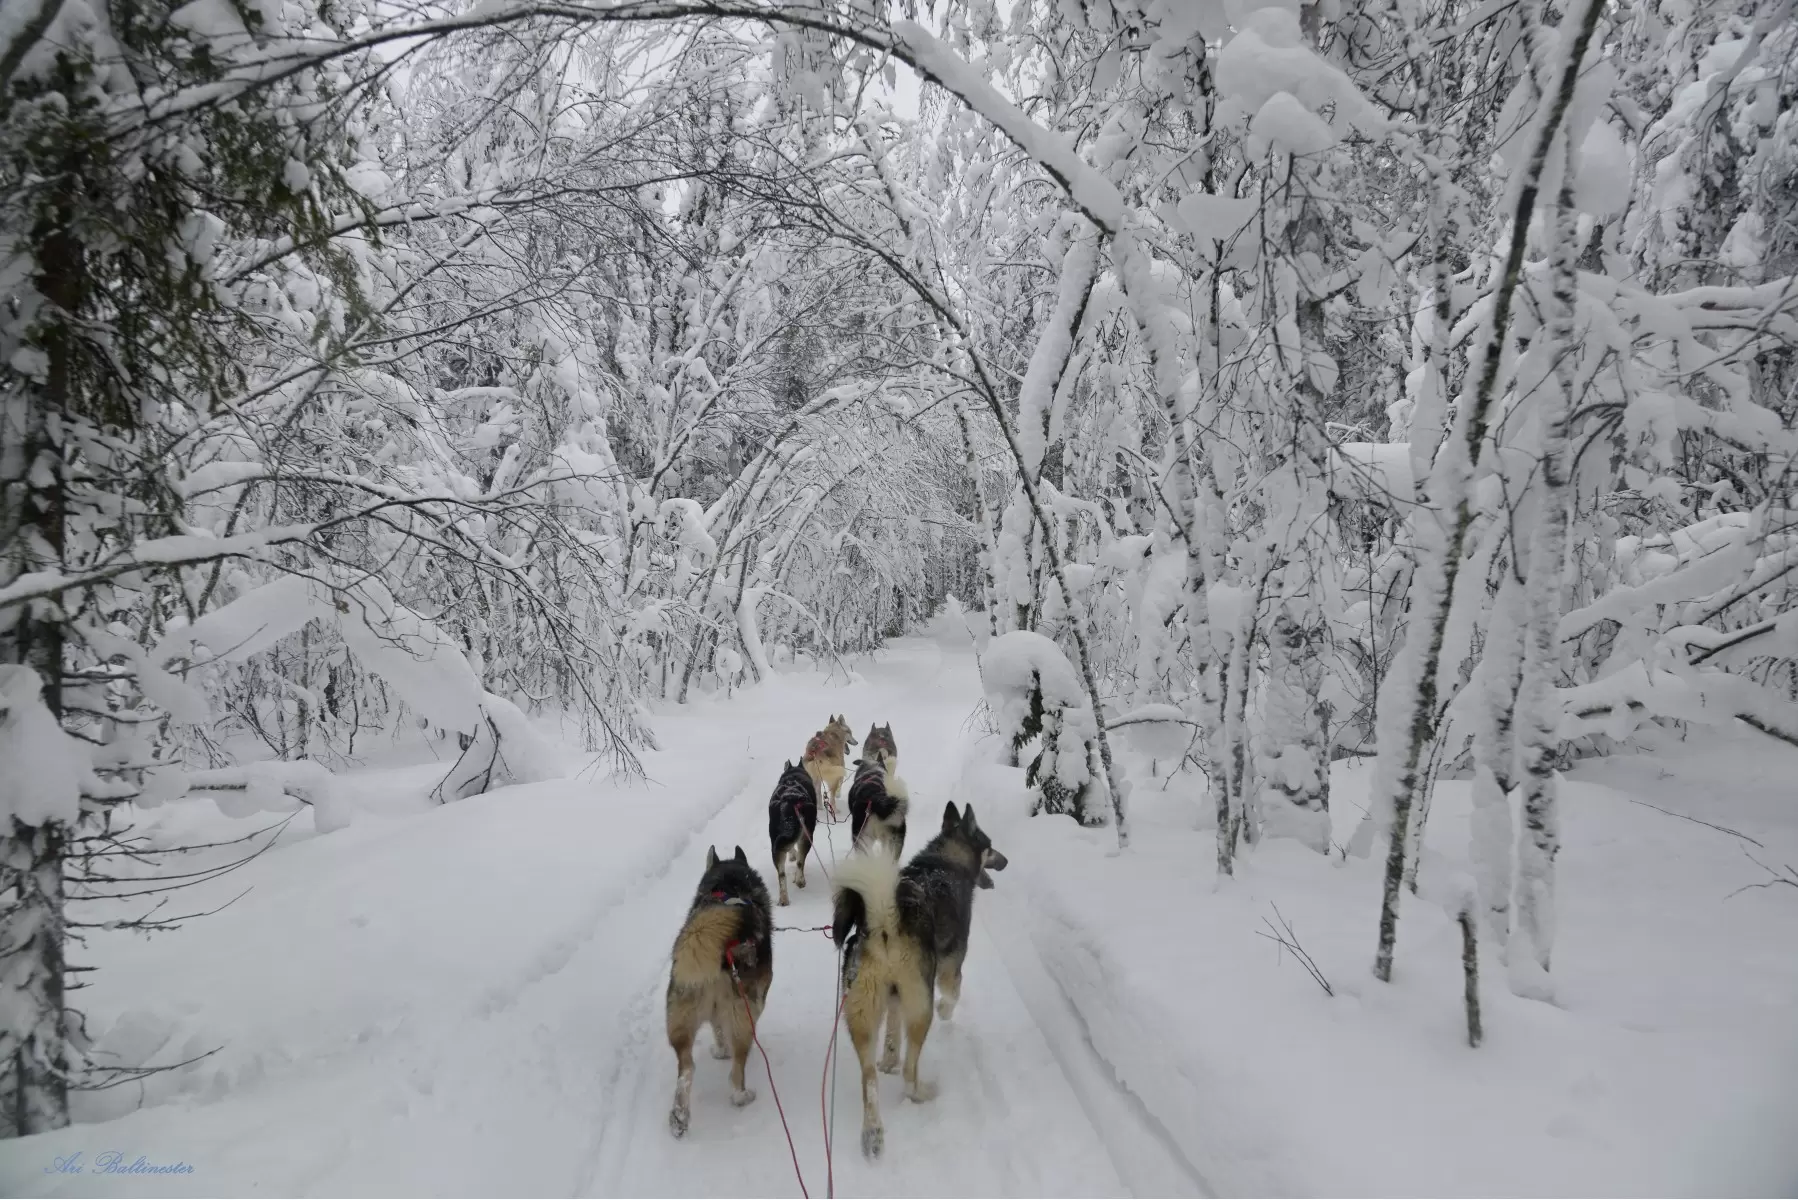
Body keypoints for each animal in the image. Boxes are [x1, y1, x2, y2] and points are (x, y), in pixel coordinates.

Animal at [665, 849, 769, 1144]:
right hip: (742, 1019)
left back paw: (679, 1118)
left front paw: (720, 1051)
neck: (729, 885)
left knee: (687, 1069)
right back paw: (743, 1096)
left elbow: (718, 1031)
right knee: (736, 1074)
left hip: (681, 1017)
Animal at [773, 766, 827, 906]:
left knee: (781, 874)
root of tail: (792, 801)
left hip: (778, 844)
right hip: (806, 838)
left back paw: (784, 898)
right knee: (800, 862)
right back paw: (799, 880)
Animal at [830, 802, 1006, 1158]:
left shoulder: (895, 999)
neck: (945, 861)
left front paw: (888, 1060)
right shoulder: (951, 966)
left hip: (862, 1015)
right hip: (919, 1010)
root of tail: (885, 925)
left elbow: (891, 1035)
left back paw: (873, 1133)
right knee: (910, 1074)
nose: (1006, 860)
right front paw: (946, 1011)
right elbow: (952, 995)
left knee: (869, 1081)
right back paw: (923, 1093)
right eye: (990, 845)